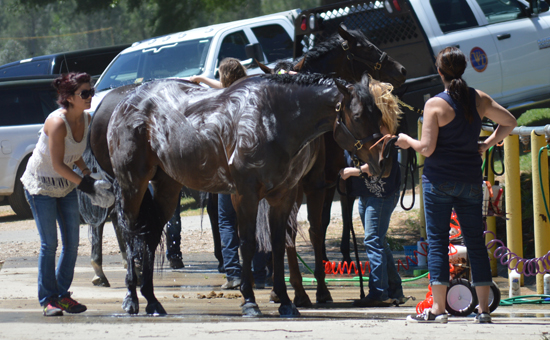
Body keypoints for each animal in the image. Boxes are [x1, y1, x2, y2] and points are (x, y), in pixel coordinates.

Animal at [98, 73, 392, 318]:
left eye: (378, 112)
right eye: (357, 115)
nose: (383, 160)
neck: (274, 118)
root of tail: (125, 102)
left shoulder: (282, 197)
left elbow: (277, 243)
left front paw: (285, 301)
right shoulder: (245, 196)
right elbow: (248, 244)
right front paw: (249, 301)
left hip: (167, 188)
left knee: (148, 237)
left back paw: (152, 301)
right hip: (132, 185)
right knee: (129, 233)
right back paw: (131, 299)